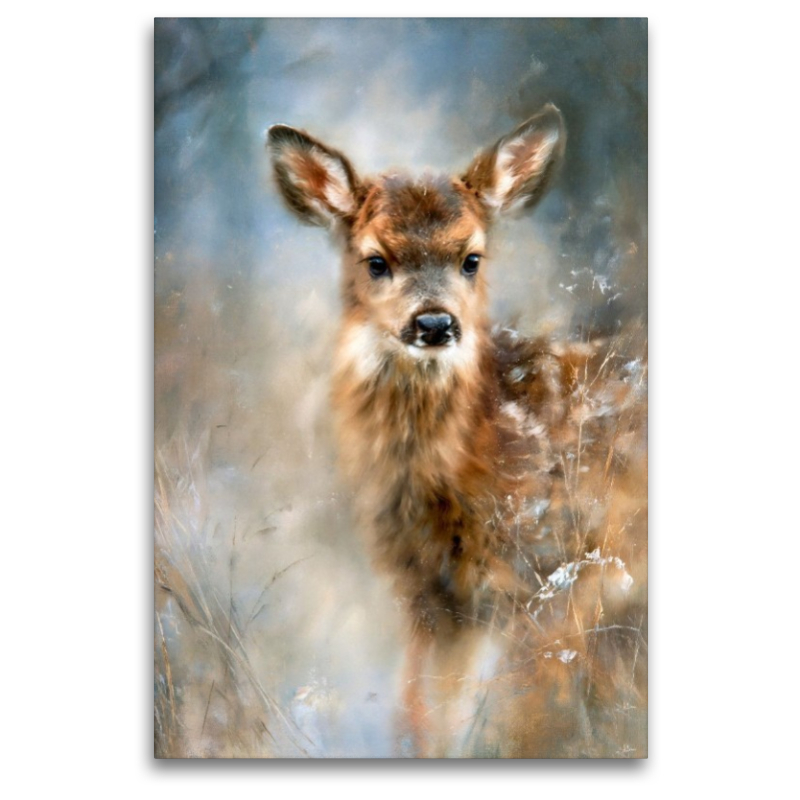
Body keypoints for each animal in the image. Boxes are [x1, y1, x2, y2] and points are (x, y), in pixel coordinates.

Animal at [267, 105, 646, 757]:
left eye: (471, 258)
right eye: (376, 260)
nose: (436, 323)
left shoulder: (548, 575)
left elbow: (526, 713)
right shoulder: (432, 596)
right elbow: (425, 711)